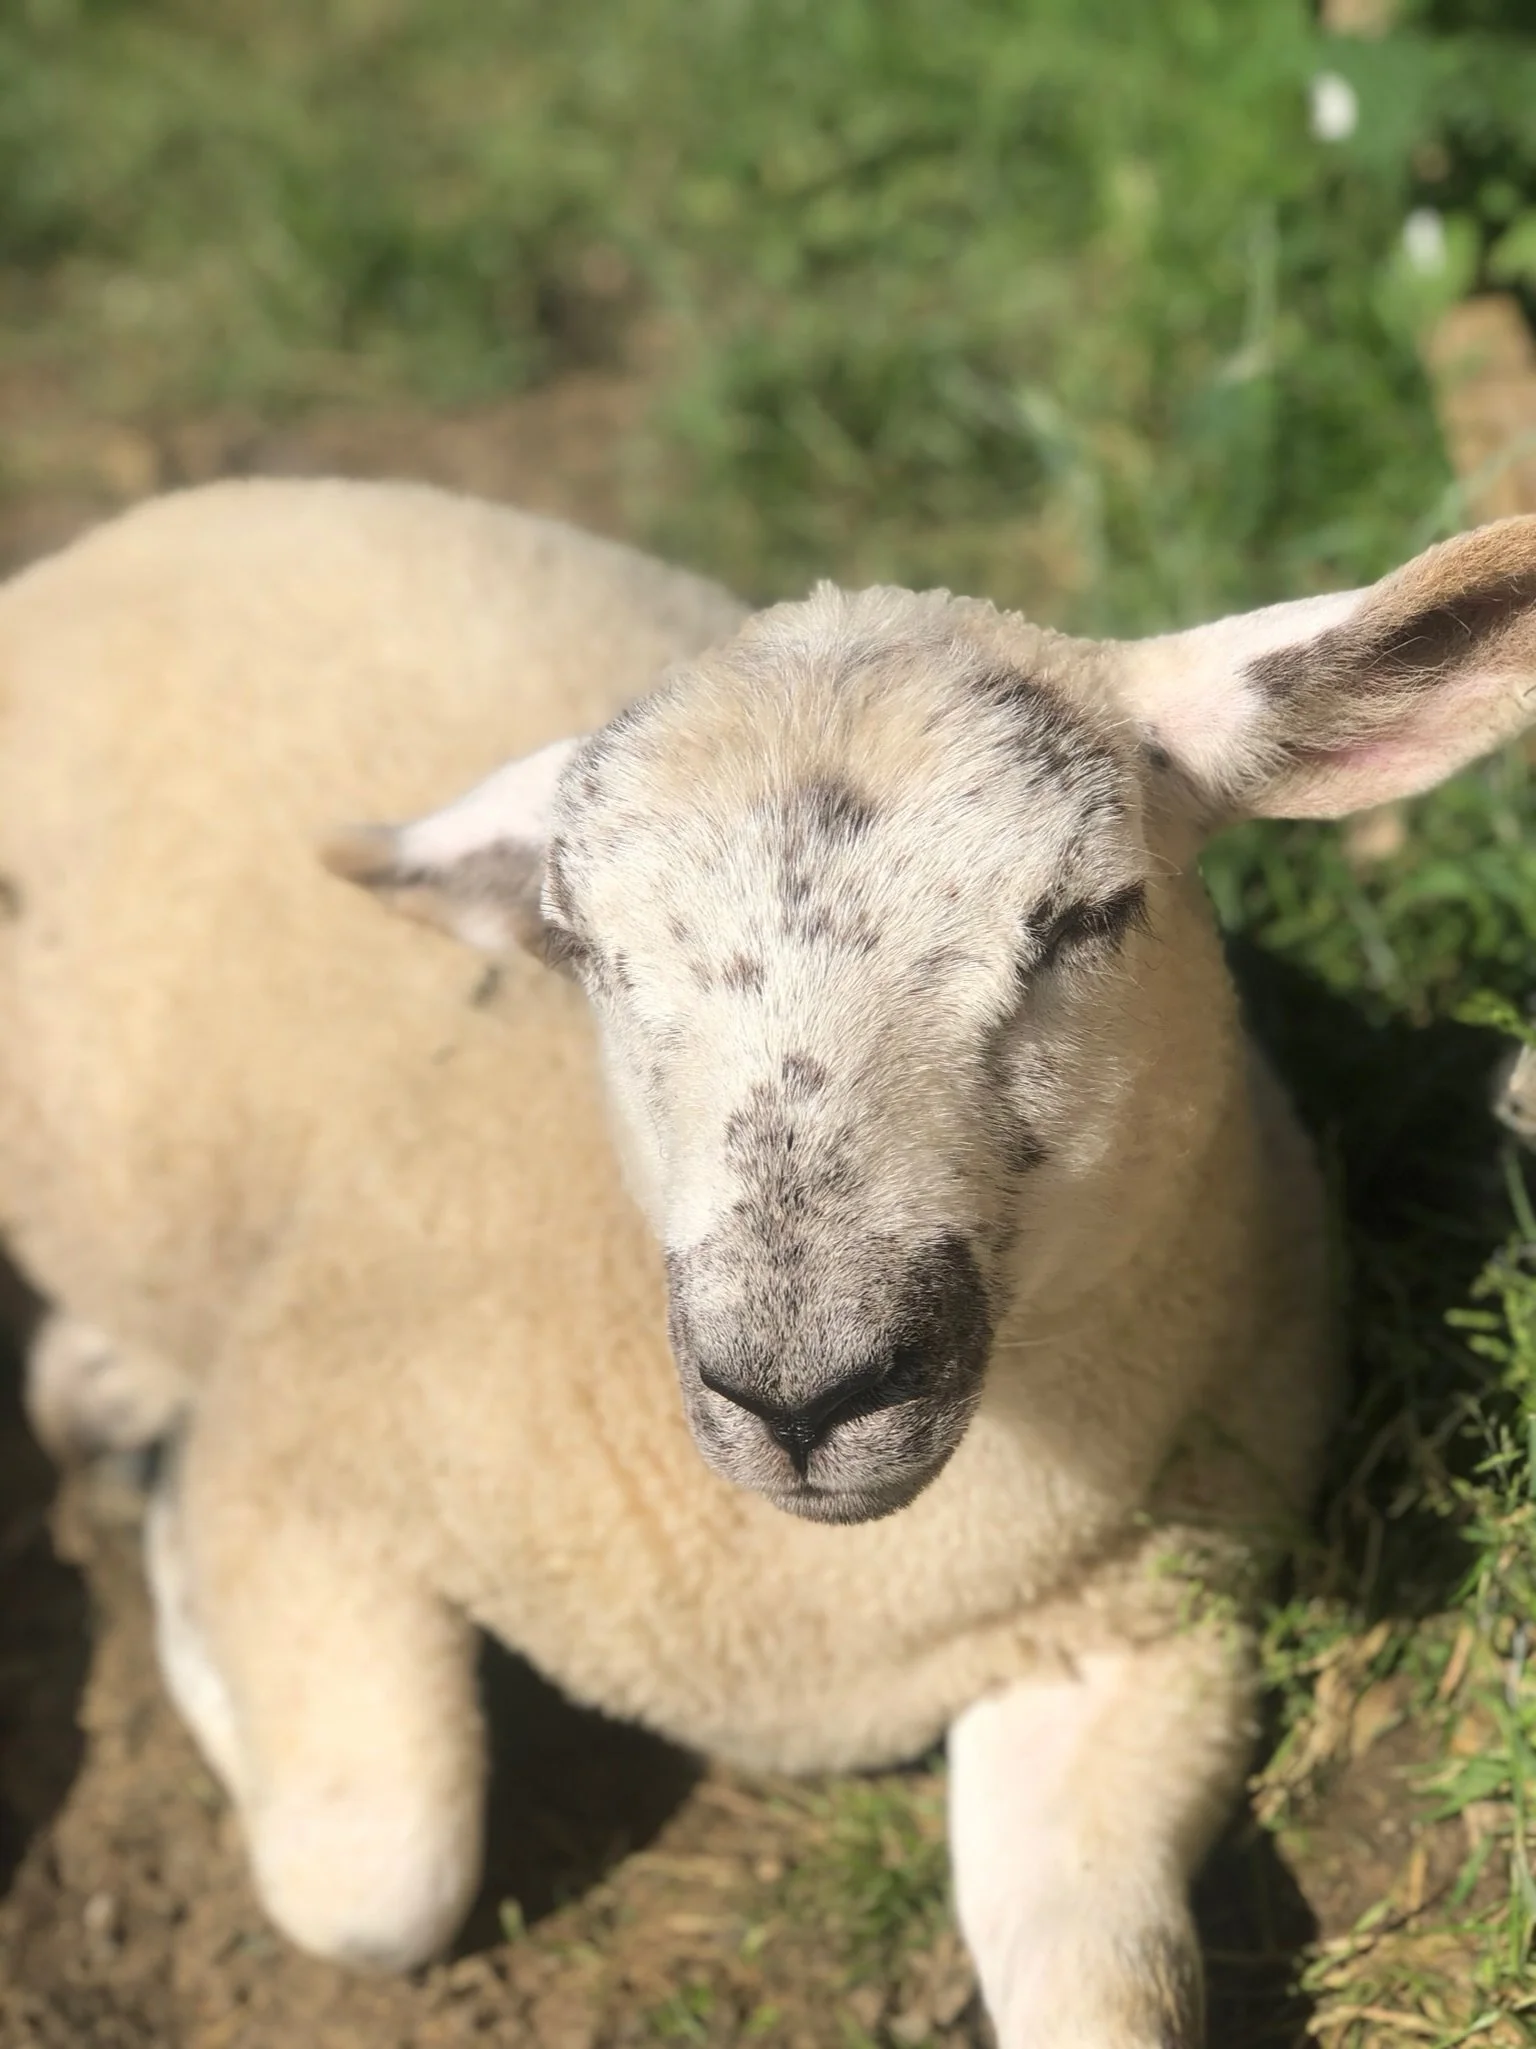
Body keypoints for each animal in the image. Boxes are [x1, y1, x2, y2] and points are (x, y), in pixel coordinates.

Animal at [5, 478, 1536, 2049]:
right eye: (578, 945)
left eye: (1090, 912)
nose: (805, 1393)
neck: (821, 1612)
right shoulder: (297, 1443)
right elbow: (378, 1880)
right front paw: (170, 1550)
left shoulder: (1141, 1644)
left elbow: (1108, 1988)